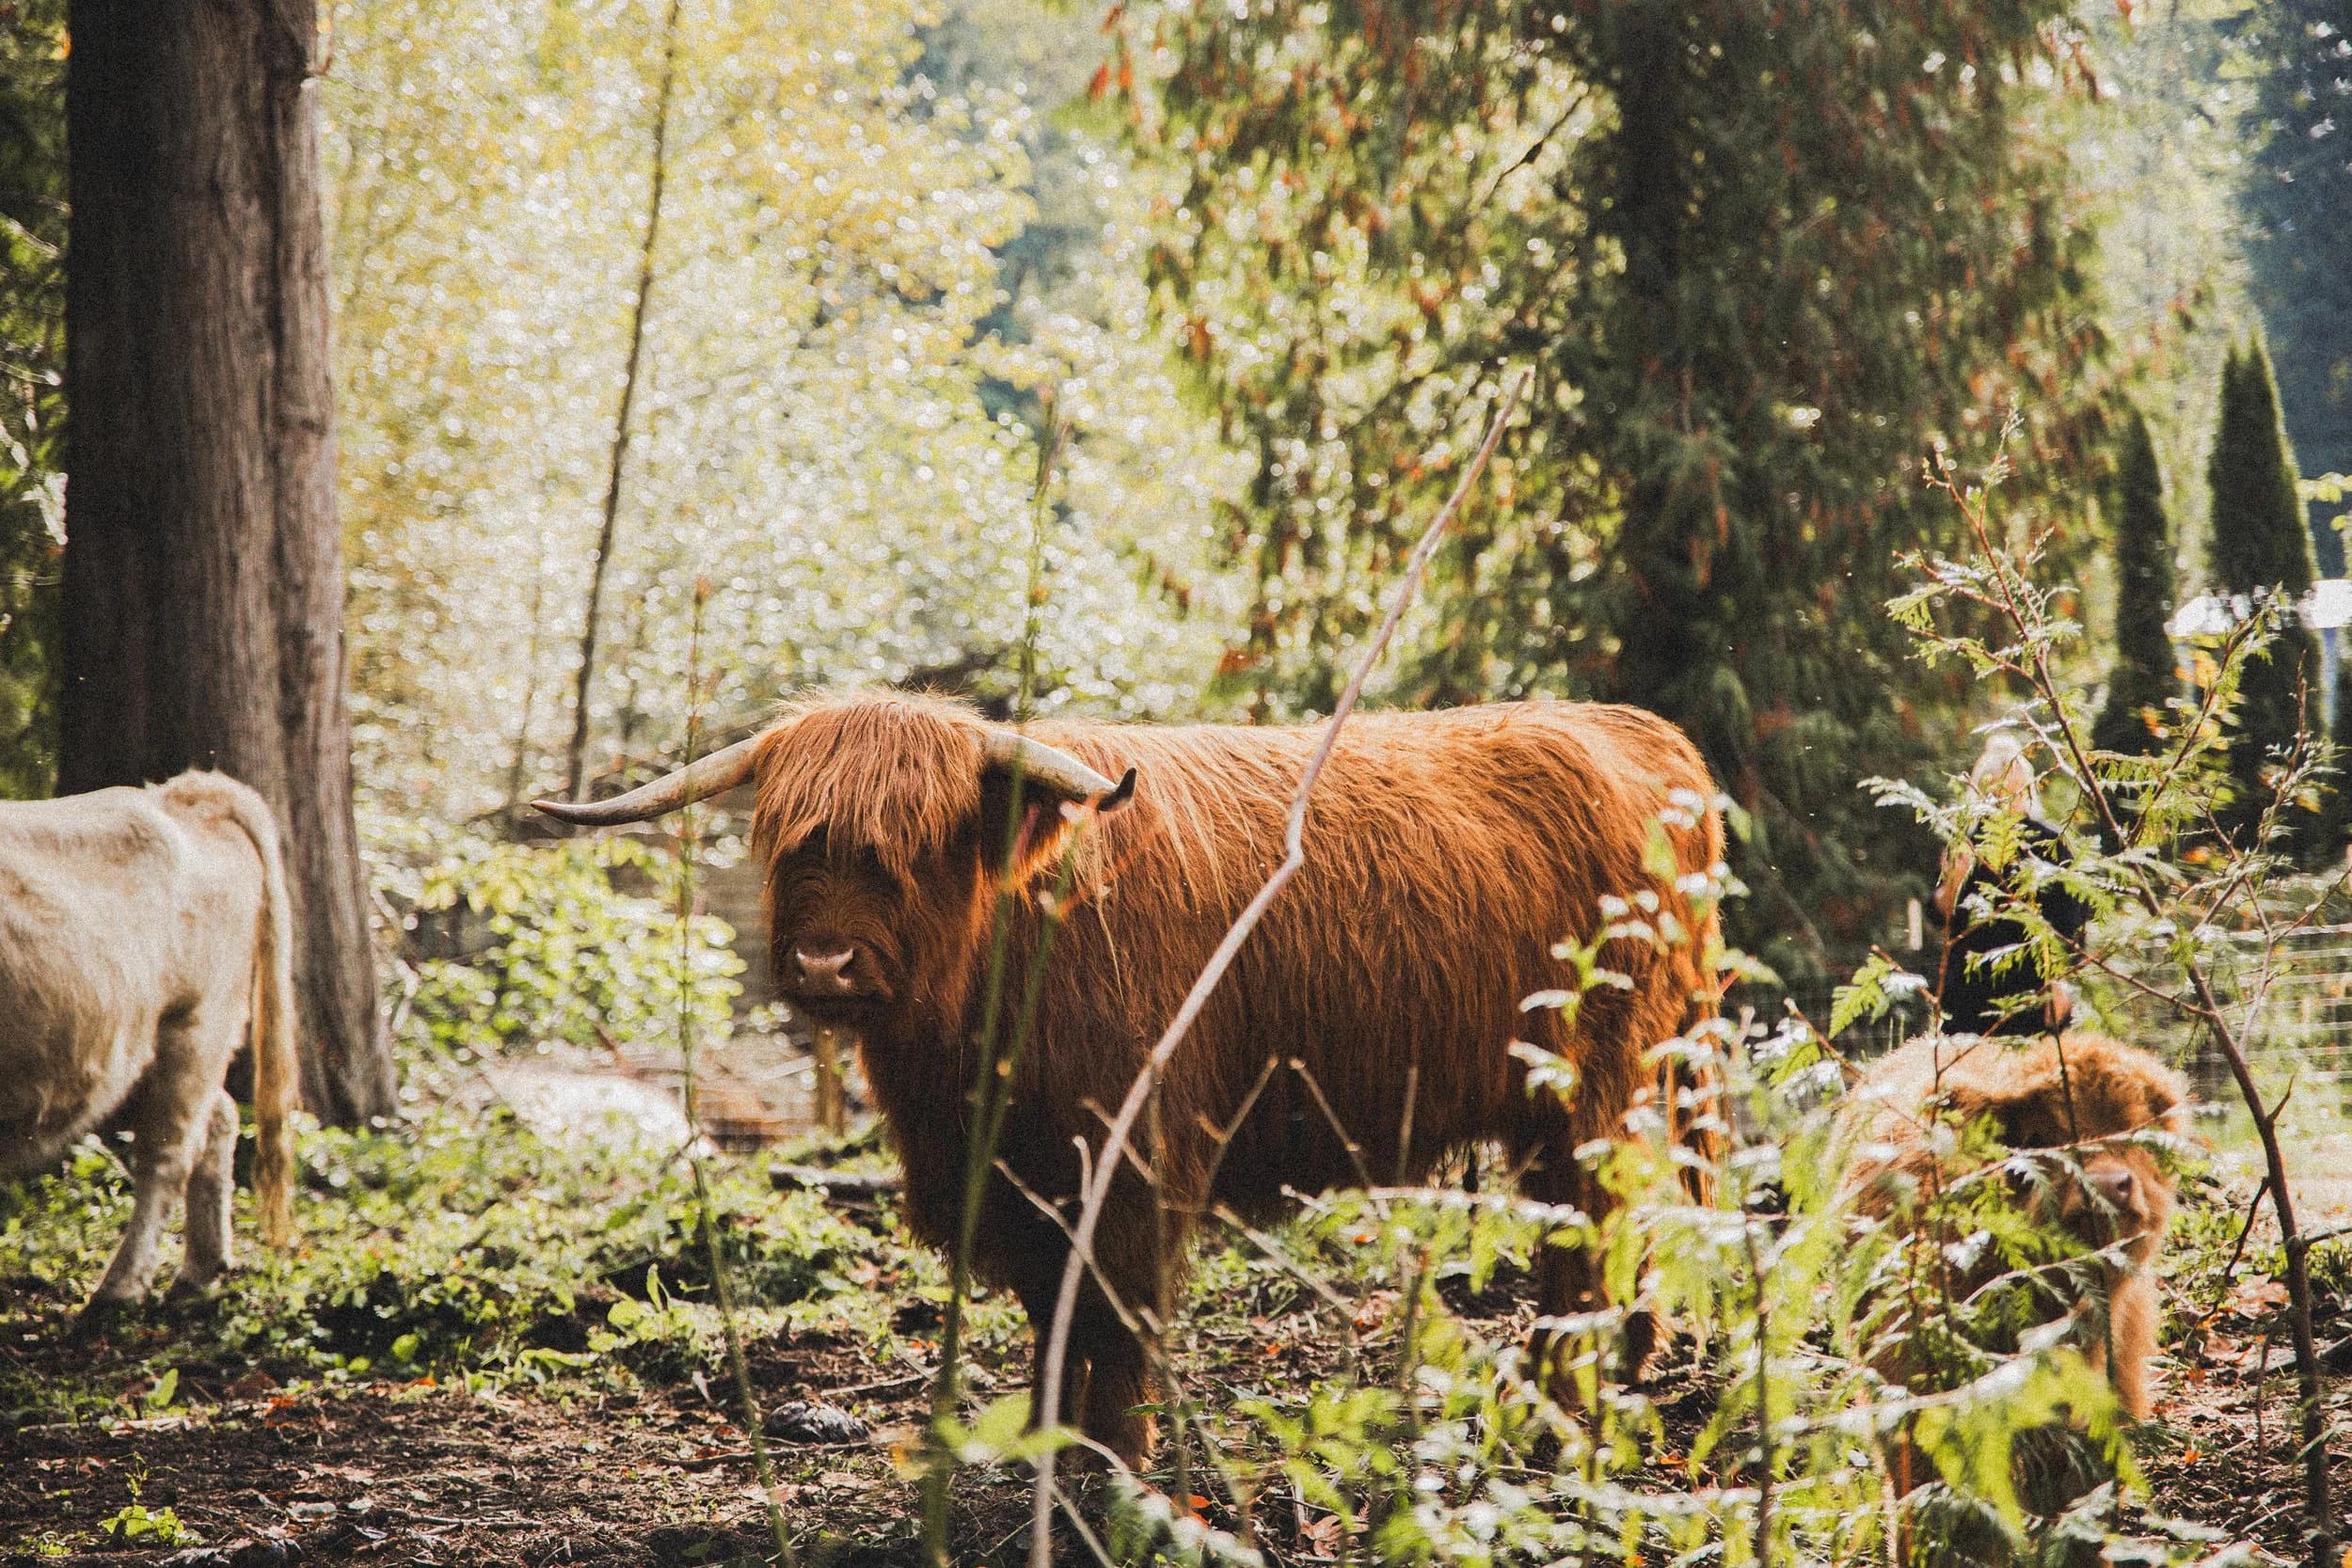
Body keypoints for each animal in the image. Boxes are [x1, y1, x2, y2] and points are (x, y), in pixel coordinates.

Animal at [0, 772, 300, 1309]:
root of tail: (182, 798)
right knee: (218, 1118)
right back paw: (201, 1270)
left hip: (192, 1023)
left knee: (168, 1155)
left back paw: (120, 1288)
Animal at [537, 690, 1724, 1462]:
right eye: (792, 842)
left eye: (917, 845)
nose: (826, 961)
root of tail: (1638, 732)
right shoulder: (1017, 1181)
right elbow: (1054, 1318)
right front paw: (1049, 1450)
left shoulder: (1132, 1160)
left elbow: (1114, 1324)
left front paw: (1116, 1470)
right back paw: (1622, 1371)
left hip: (1587, 1092)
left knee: (1585, 1245)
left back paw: (1562, 1418)